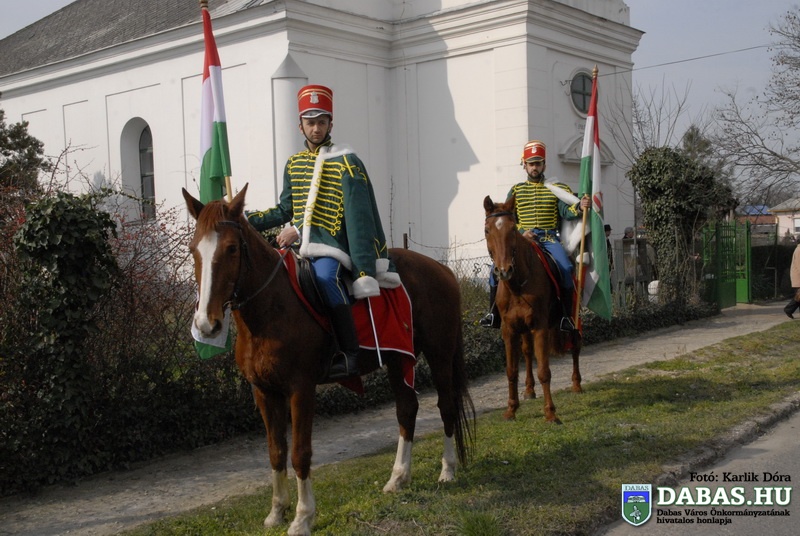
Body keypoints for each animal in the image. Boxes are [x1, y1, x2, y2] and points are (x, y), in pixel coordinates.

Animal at [183, 185, 475, 536]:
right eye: (193, 249)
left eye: (230, 249)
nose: (206, 324)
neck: (270, 310)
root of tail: (441, 269)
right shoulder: (264, 391)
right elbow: (276, 451)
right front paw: (276, 512)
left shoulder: (301, 389)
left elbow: (300, 452)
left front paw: (302, 517)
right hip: (396, 359)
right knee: (407, 409)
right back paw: (398, 478)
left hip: (440, 353)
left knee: (446, 405)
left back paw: (447, 471)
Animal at [483, 195, 583, 424]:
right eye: (487, 230)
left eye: (512, 229)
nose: (503, 271)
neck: (517, 285)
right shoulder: (509, 330)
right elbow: (511, 371)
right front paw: (511, 409)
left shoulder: (540, 328)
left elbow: (544, 371)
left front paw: (550, 413)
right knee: (528, 353)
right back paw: (529, 390)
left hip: (573, 318)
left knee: (575, 345)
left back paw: (576, 384)